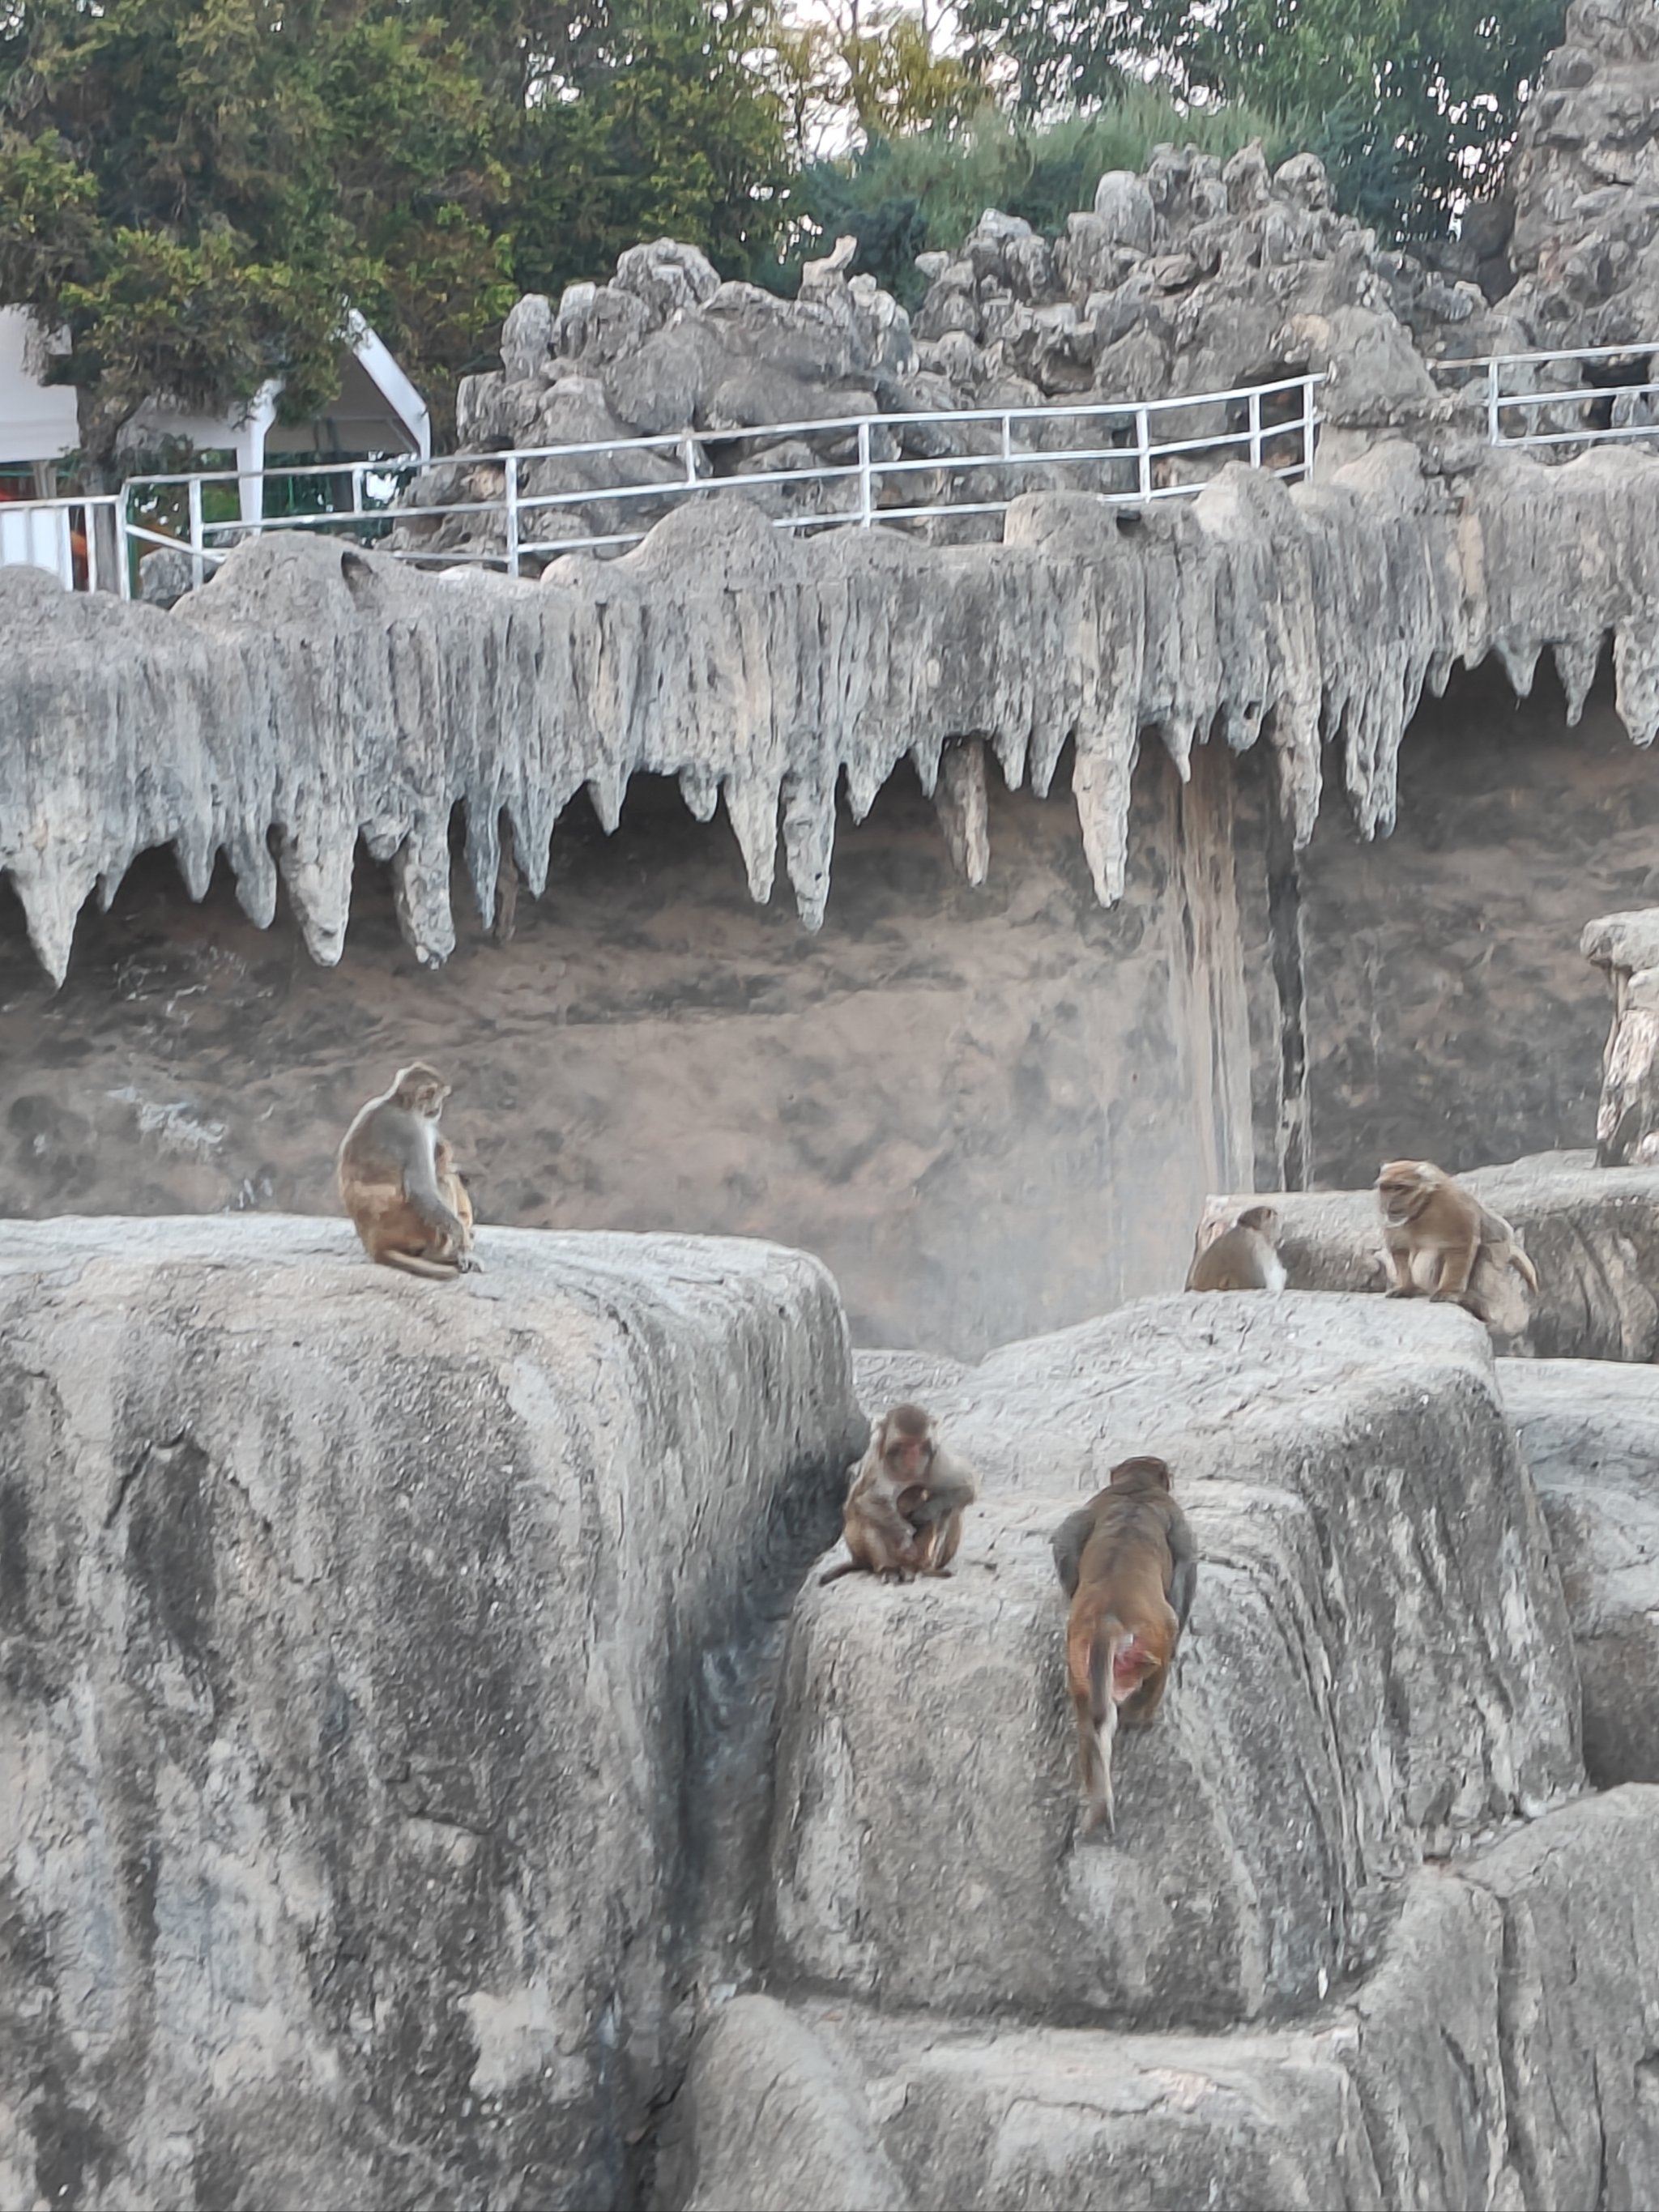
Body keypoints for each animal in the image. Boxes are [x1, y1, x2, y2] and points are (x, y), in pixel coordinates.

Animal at [338, 1066, 480, 1282]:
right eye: (439, 1097)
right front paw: (462, 1246)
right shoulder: (412, 1131)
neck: (400, 1103)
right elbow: (422, 1190)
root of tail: (374, 1243)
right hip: (411, 1225)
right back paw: (438, 1254)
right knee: (441, 1179)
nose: (438, 1109)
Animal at [822, 1406, 982, 1583]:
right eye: (903, 1446)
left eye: (919, 1446)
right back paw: (888, 1568)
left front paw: (924, 1512)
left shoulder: (939, 1459)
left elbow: (966, 1487)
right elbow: (866, 1501)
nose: (913, 1459)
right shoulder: (876, 1464)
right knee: (866, 1516)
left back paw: (920, 1568)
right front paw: (905, 1535)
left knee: (948, 1508)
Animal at [1052, 1460, 1194, 1840]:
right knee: (1166, 1641)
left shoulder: (1090, 1507)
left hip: (1080, 1660)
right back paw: (1142, 1718)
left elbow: (1065, 1542)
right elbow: (1187, 1568)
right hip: (1152, 1641)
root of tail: (1108, 1621)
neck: (1136, 1488)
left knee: (1091, 1719)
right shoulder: (1176, 1517)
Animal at [1380, 1167, 1548, 1318]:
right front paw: (1406, 1287)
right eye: (1385, 1188)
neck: (1422, 1209)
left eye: (1399, 1187)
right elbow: (1400, 1249)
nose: (1389, 1204)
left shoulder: (1452, 1206)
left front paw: (1448, 1292)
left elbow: (1461, 1244)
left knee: (1484, 1250)